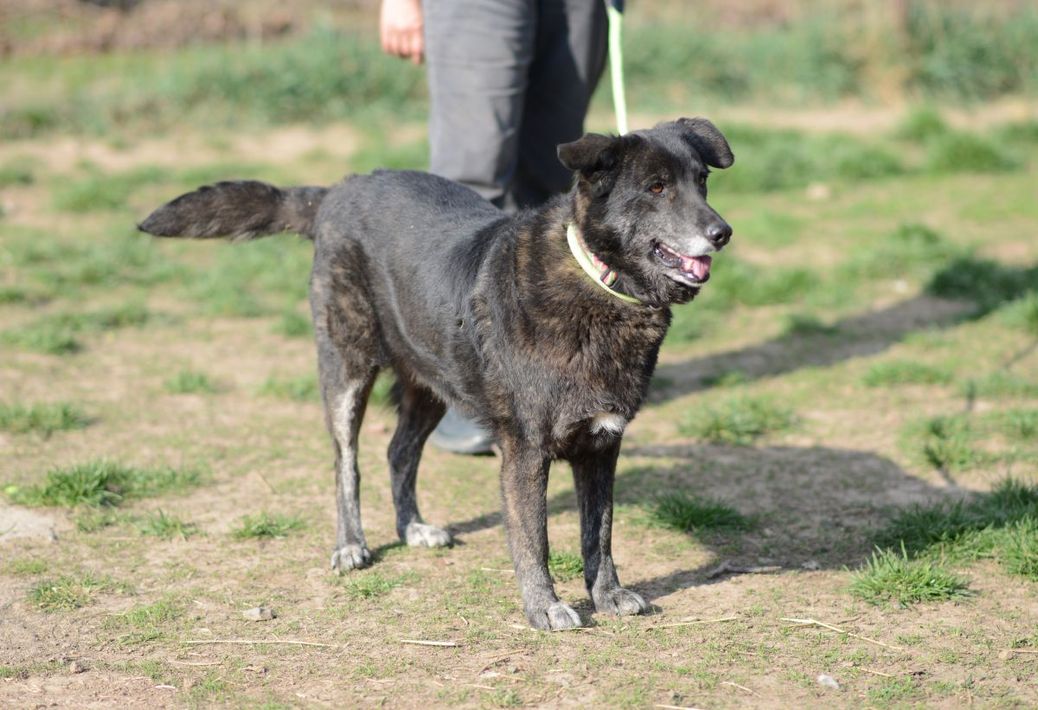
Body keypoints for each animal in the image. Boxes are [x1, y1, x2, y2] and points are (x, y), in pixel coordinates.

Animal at [139, 118, 734, 630]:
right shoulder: (526, 450)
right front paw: (544, 608)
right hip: (346, 369)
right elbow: (535, 537)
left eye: (702, 182)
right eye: (656, 187)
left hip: (429, 382)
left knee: (398, 451)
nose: (722, 231)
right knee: (346, 461)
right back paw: (351, 544)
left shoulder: (602, 445)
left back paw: (412, 528)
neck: (599, 282)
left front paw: (607, 596)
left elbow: (600, 531)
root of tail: (339, 190)